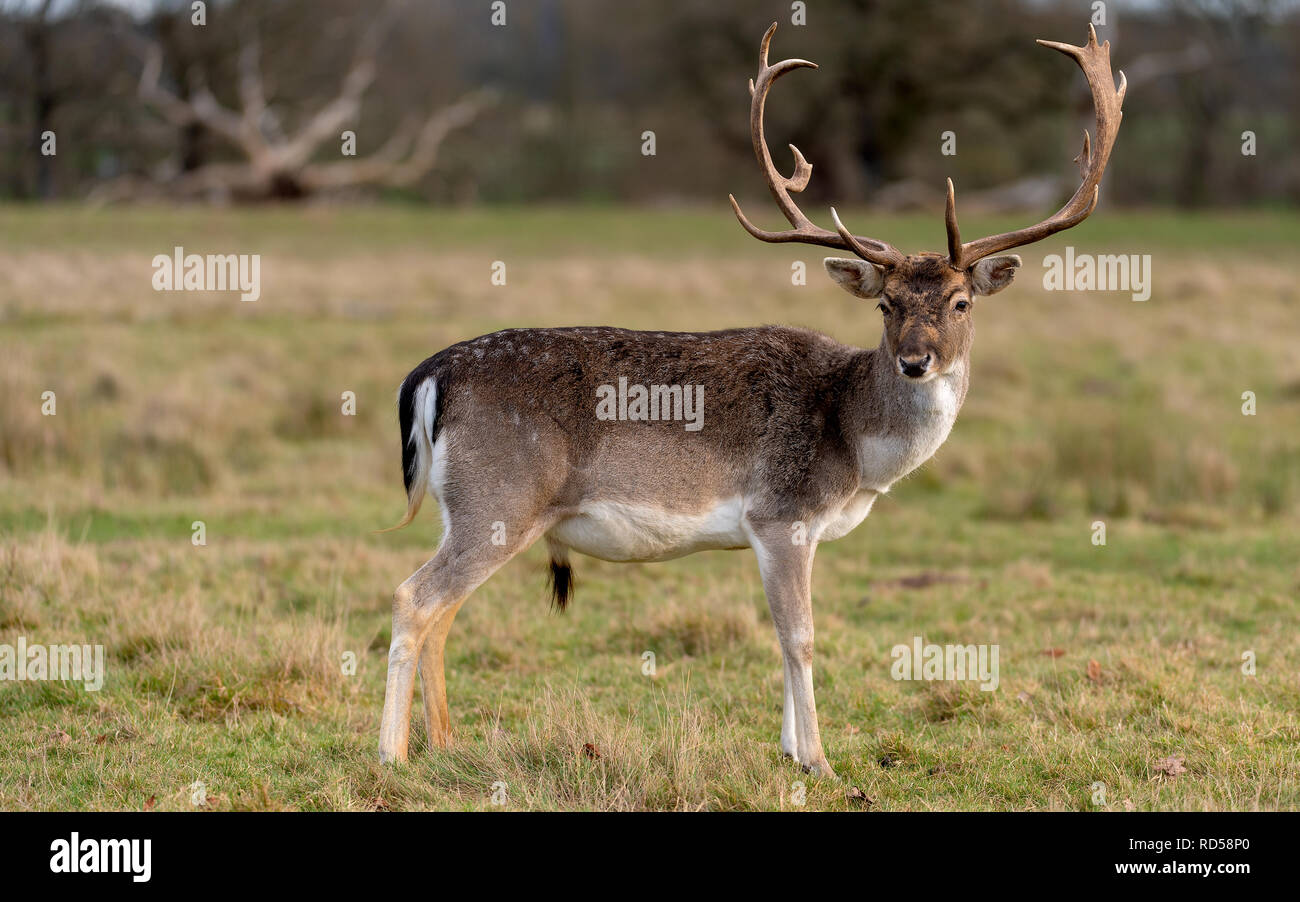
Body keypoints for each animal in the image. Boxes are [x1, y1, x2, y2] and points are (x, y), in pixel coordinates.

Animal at [379, 22, 1123, 785]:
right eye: (886, 304)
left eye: (961, 301)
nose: (916, 361)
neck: (856, 447)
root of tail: (430, 376)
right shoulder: (779, 513)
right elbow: (801, 635)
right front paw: (821, 761)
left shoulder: (797, 529)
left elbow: (786, 633)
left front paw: (793, 750)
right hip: (501, 497)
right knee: (414, 598)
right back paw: (391, 754)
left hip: (470, 508)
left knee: (444, 610)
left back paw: (447, 745)